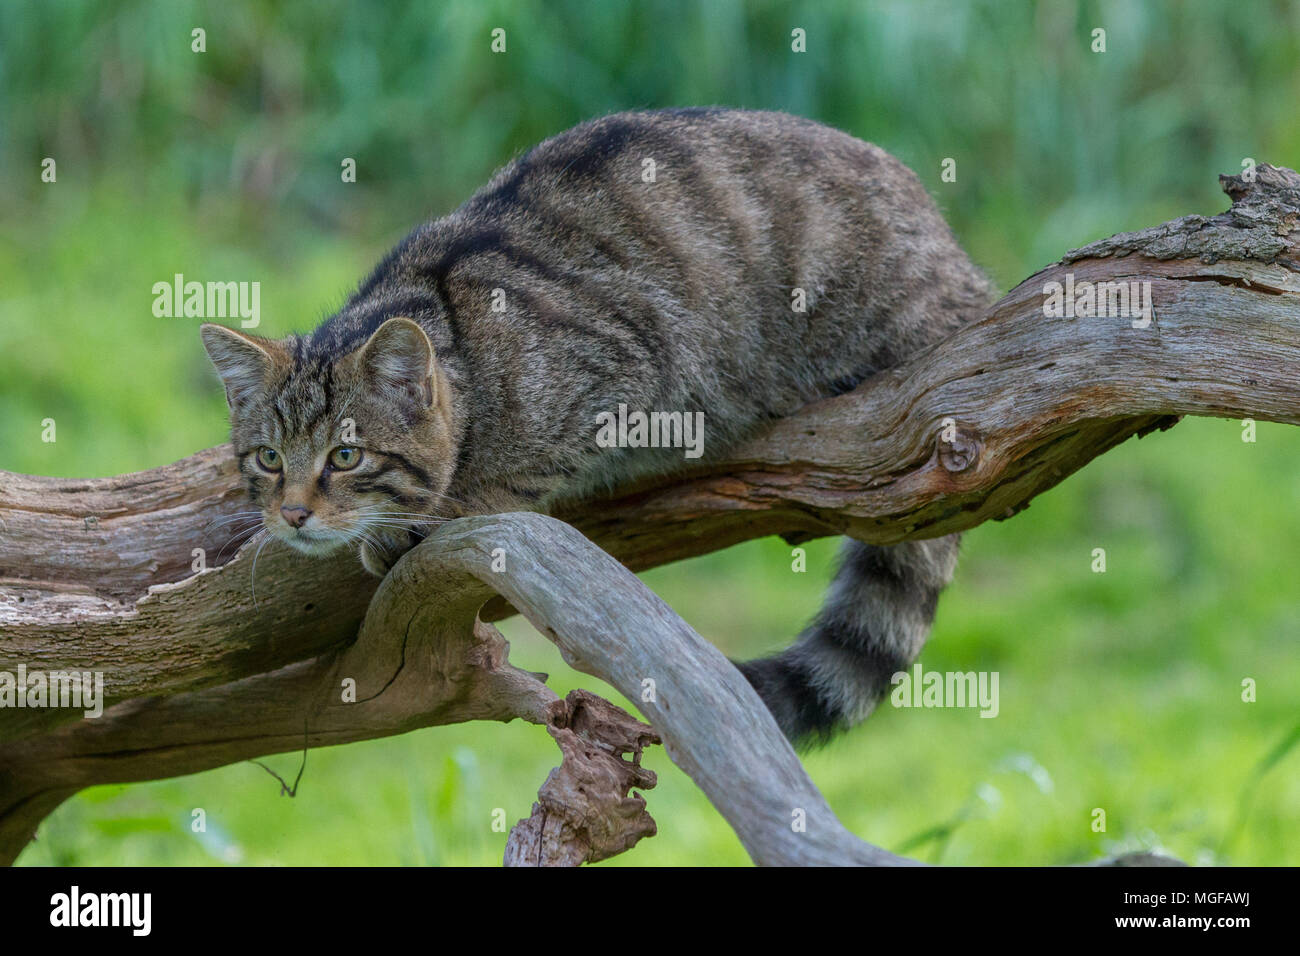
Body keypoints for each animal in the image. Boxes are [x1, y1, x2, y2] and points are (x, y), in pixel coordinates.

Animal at [202, 106, 987, 749]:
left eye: (345, 455)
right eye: (268, 458)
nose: (293, 514)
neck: (462, 344)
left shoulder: (628, 367)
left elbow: (513, 476)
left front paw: (440, 510)